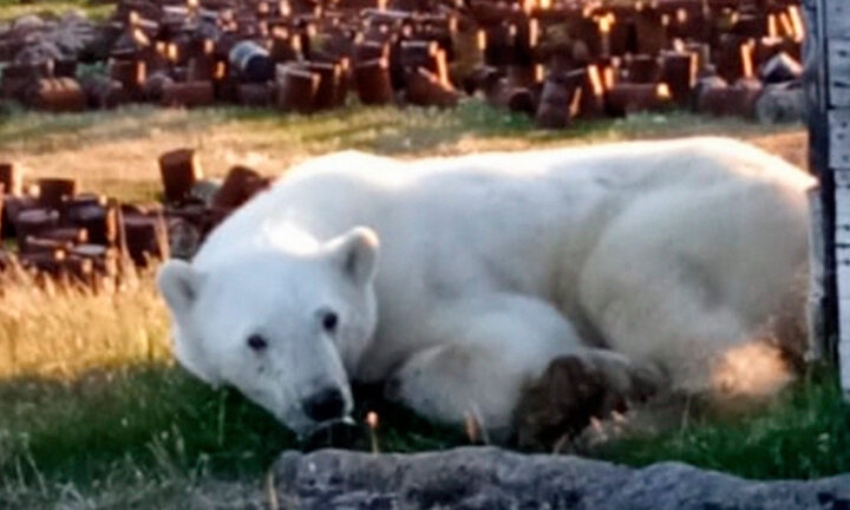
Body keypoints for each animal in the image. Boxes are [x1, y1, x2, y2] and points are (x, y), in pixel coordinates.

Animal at [156, 136, 812, 442]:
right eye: (256, 340)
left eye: (329, 318)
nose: (323, 401)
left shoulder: (424, 281)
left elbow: (515, 339)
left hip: (707, 219)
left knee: (635, 282)